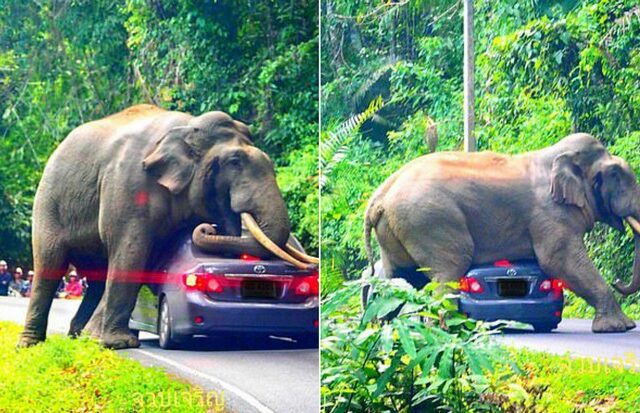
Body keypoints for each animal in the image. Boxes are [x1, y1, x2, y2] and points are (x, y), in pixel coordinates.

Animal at [18, 103, 318, 348]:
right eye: (234, 162)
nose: (208, 227)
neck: (187, 127)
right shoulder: (128, 184)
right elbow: (132, 251)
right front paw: (119, 344)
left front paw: (102, 340)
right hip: (48, 203)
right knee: (50, 264)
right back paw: (31, 345)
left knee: (96, 277)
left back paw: (80, 337)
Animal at [364, 134, 640, 334]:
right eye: (616, 174)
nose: (618, 280)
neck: (557, 155)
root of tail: (378, 197)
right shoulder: (550, 213)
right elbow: (559, 261)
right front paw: (620, 328)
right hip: (430, 221)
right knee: (448, 271)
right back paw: (450, 331)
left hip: (397, 230)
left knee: (399, 277)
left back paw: (386, 330)